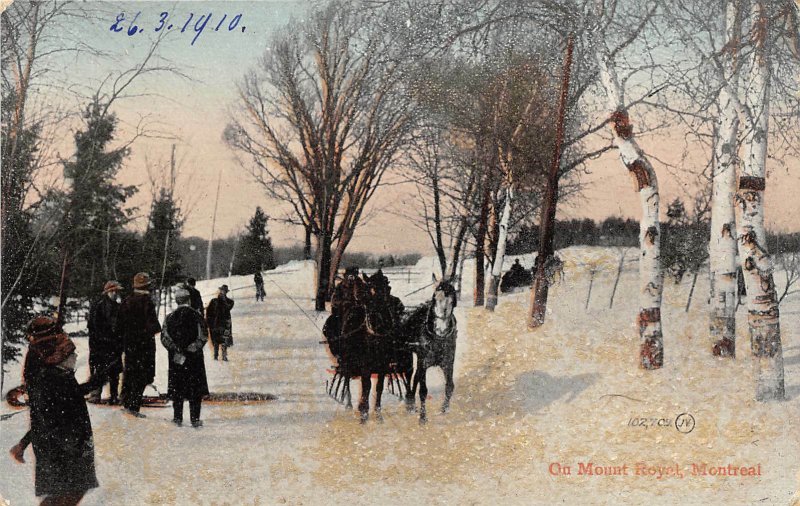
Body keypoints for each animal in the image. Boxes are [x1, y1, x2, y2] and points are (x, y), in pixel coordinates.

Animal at [320, 268, 406, 422]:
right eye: (370, 289)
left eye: (388, 288)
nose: (381, 315)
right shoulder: (365, 364)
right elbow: (367, 386)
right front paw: (364, 412)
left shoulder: (383, 365)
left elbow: (379, 387)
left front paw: (378, 414)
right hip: (347, 360)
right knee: (347, 378)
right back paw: (348, 404)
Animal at [398, 278, 456, 424]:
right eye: (435, 297)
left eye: (452, 298)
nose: (441, 329)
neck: (437, 338)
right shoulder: (423, 362)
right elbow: (423, 391)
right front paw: (423, 418)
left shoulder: (448, 362)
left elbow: (449, 386)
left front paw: (444, 409)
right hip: (406, 354)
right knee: (407, 374)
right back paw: (410, 401)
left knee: (415, 376)